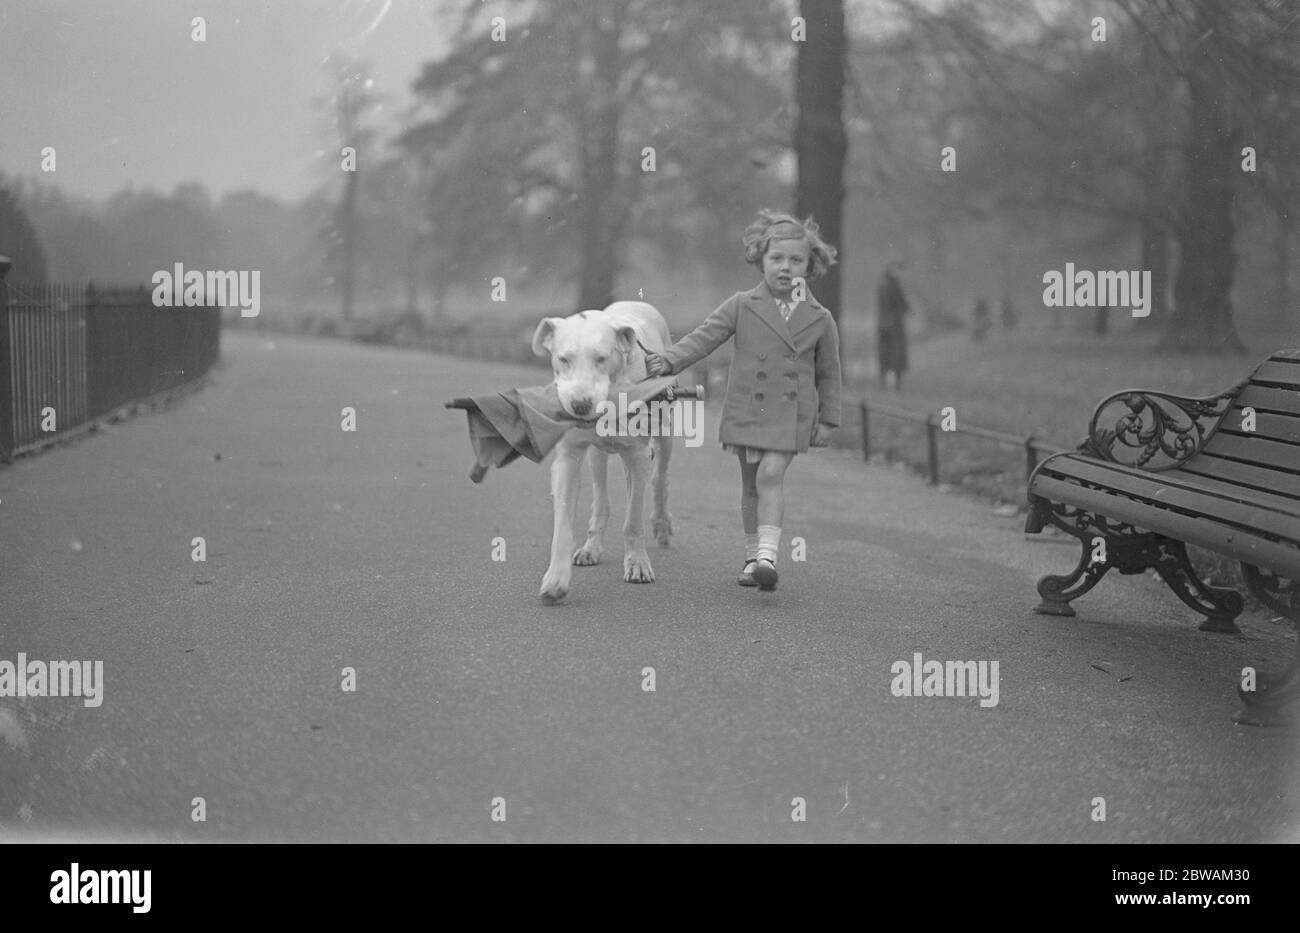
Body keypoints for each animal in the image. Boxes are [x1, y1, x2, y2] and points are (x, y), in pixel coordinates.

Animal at [533, 300, 681, 605]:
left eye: (601, 358)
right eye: (563, 359)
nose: (580, 404)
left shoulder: (637, 454)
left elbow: (634, 519)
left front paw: (637, 564)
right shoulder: (569, 456)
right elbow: (562, 523)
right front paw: (555, 579)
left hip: (664, 430)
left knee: (659, 476)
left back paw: (661, 524)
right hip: (598, 456)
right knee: (601, 497)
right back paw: (592, 547)